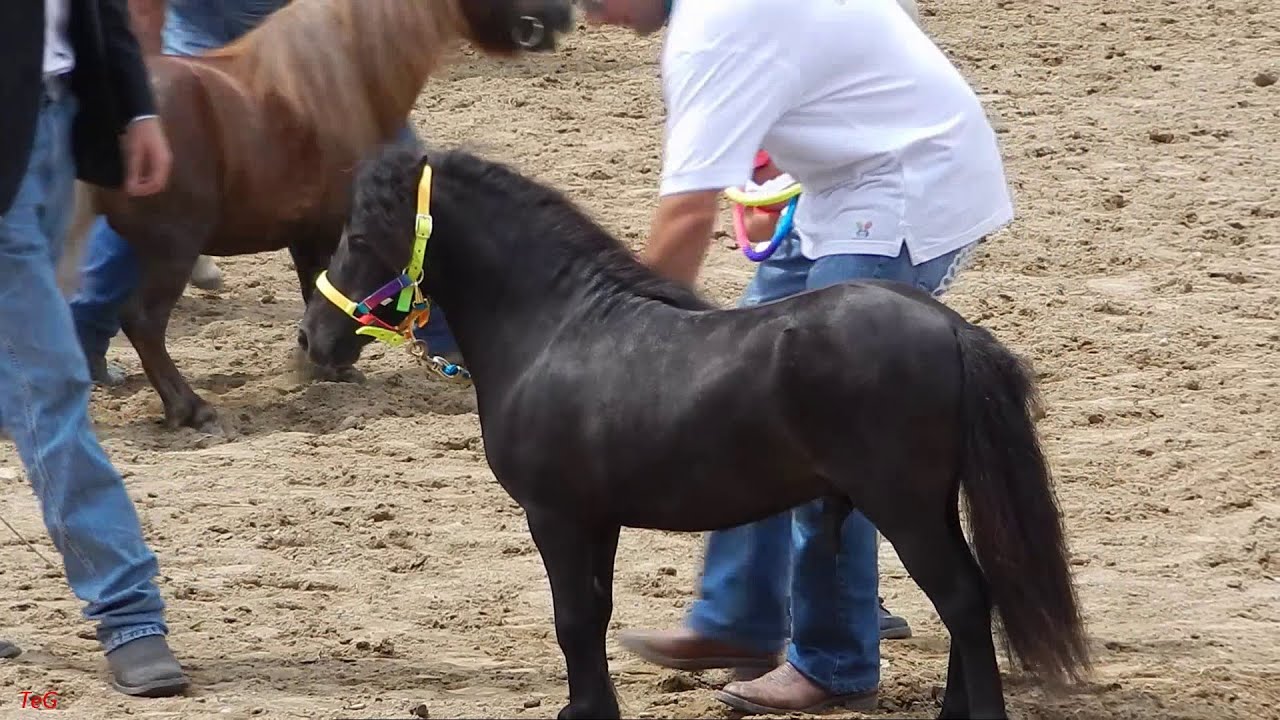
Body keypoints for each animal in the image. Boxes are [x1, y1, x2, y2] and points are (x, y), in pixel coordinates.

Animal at [72, 0, 576, 433]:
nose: (564, 14)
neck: (349, 71)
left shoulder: (306, 232)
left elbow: (318, 290)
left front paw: (318, 363)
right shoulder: (331, 228)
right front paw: (323, 363)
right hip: (172, 246)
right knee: (143, 320)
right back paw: (190, 408)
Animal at [296, 144, 1091, 720]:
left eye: (359, 234)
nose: (313, 339)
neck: (555, 328)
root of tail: (950, 328)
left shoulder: (554, 515)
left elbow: (571, 618)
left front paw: (584, 712)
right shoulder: (597, 519)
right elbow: (594, 612)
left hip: (906, 506)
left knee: (963, 598)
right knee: (970, 600)